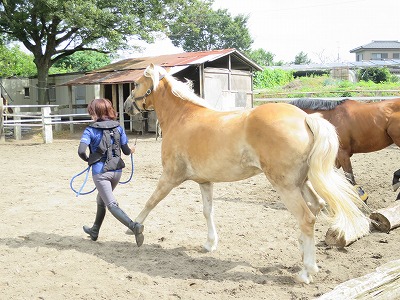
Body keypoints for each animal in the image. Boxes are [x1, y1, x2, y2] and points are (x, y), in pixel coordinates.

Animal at [124, 64, 368, 284]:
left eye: (135, 84)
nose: (126, 106)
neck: (182, 117)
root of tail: (305, 119)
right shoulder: (205, 182)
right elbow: (207, 212)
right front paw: (210, 244)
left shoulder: (170, 177)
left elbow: (151, 201)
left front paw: (133, 227)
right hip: (301, 183)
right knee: (316, 207)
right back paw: (303, 256)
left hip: (286, 187)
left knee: (307, 218)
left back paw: (306, 272)